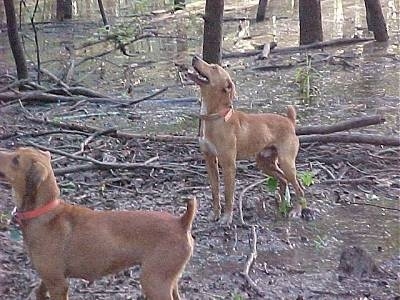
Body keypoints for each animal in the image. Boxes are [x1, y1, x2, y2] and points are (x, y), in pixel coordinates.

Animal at [186, 55, 304, 225]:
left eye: (214, 68)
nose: (194, 57)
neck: (215, 116)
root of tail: (289, 121)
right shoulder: (210, 161)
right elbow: (215, 192)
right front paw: (215, 214)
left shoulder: (229, 165)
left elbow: (228, 194)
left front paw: (226, 217)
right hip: (264, 163)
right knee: (283, 180)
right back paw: (282, 204)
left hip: (287, 162)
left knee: (298, 186)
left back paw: (297, 210)